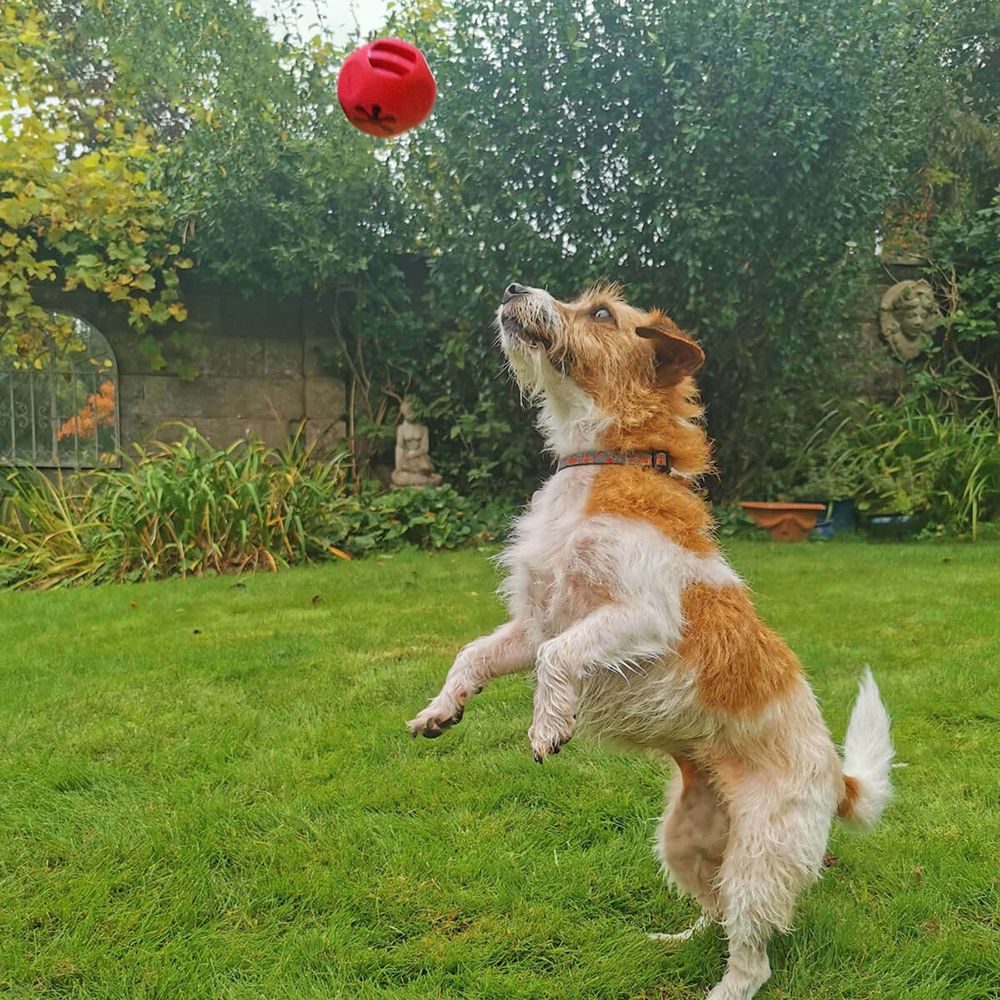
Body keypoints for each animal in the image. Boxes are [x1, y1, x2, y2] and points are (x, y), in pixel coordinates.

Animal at [410, 282, 896, 1000]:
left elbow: (557, 660)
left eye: (601, 314)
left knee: (754, 956)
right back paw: (683, 939)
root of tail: (839, 779)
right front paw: (441, 710)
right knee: (718, 911)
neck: (605, 460)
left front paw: (547, 725)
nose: (513, 289)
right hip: (684, 840)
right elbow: (474, 652)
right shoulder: (535, 622)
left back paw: (725, 986)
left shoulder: (641, 615)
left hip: (760, 853)